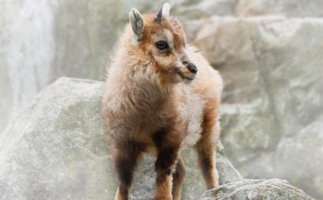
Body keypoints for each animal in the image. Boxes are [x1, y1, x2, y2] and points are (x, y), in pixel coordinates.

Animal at [102, 3, 224, 200]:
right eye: (161, 44)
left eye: (182, 41)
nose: (193, 69)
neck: (143, 112)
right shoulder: (121, 141)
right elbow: (124, 180)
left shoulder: (170, 136)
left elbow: (163, 172)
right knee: (181, 171)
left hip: (209, 126)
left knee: (208, 167)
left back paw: (213, 190)